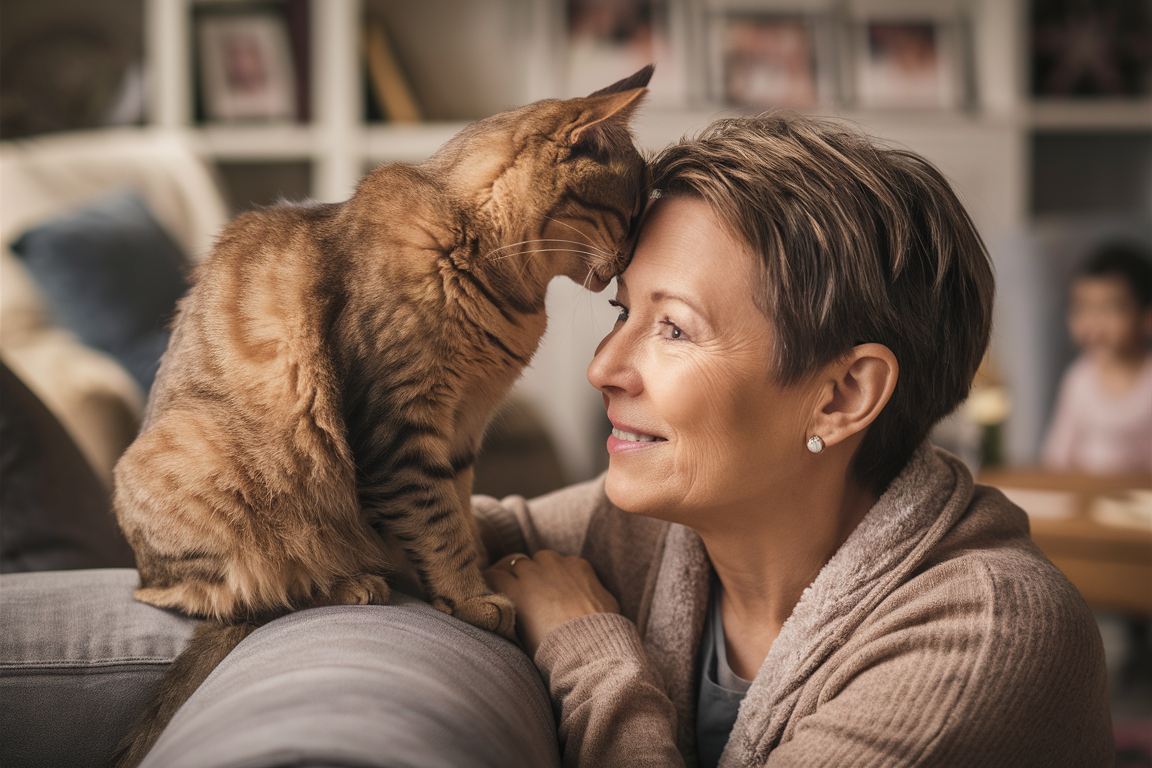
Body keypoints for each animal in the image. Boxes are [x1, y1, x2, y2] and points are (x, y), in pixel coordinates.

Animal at [112, 67, 654, 768]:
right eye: (631, 214)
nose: (631, 263)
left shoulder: (461, 430)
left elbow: (456, 513)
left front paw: (473, 579)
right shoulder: (399, 428)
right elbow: (436, 521)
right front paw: (472, 596)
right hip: (209, 469)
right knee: (230, 593)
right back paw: (349, 582)